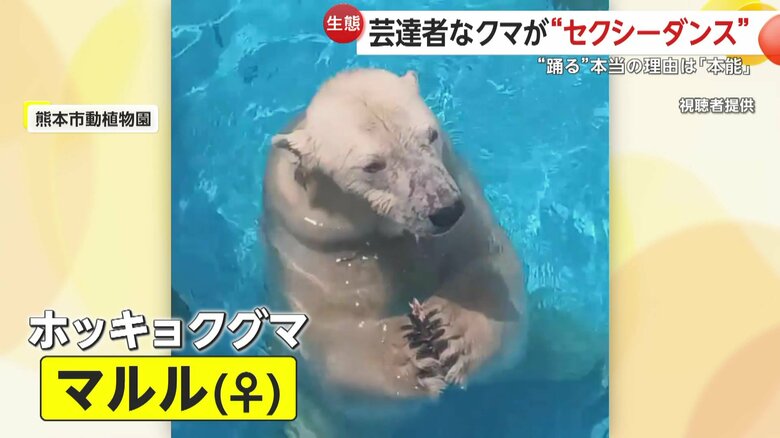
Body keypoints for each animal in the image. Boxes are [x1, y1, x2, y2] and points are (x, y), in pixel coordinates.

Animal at [261, 68, 527, 435]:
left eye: (431, 134)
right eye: (373, 165)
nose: (445, 210)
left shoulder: (465, 209)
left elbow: (490, 264)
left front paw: (450, 330)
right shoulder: (317, 248)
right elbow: (325, 337)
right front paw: (408, 355)